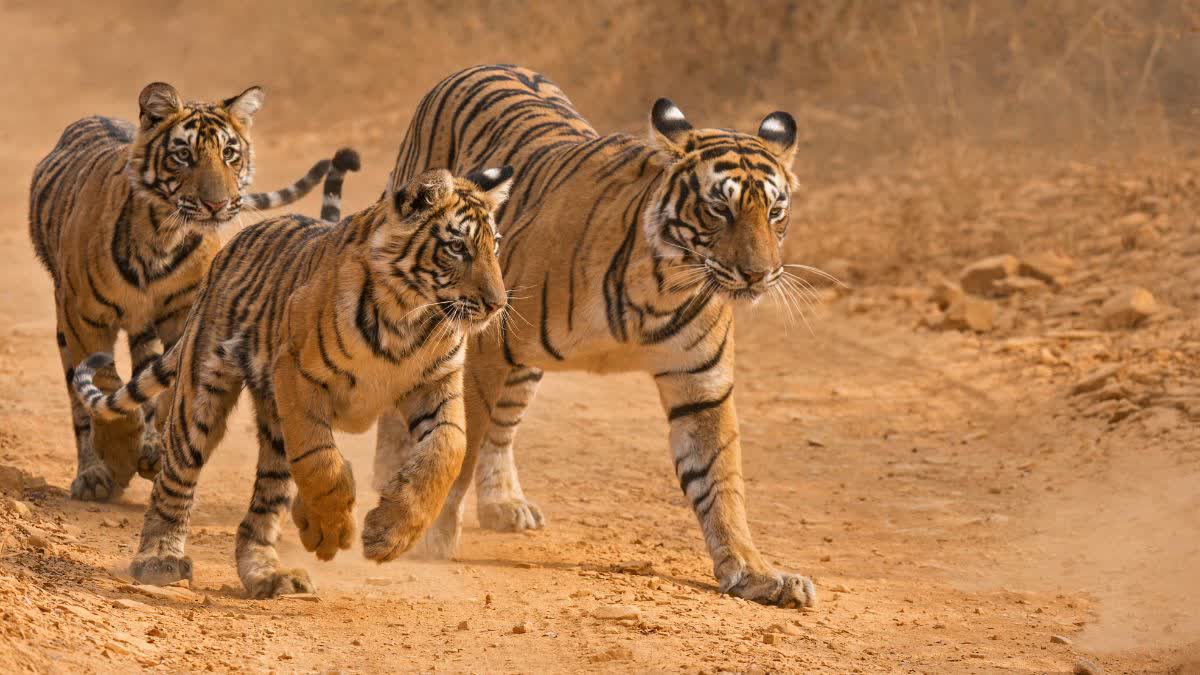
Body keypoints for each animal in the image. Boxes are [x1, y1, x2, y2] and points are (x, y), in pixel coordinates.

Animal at [29, 81, 347, 503]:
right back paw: (94, 473)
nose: (217, 204)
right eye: (183, 155)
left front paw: (154, 449)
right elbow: (105, 383)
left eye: (230, 154)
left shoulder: (187, 316)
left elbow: (167, 393)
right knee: (81, 402)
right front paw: (121, 453)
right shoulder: (83, 316)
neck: (162, 234)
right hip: (67, 322)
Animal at [72, 163, 513, 598]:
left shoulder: (437, 383)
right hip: (202, 395)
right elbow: (320, 460)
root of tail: (230, 248)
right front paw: (333, 529)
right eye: (457, 248)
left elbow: (448, 448)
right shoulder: (297, 373)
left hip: (273, 430)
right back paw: (159, 560)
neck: (408, 317)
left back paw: (268, 574)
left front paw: (389, 534)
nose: (496, 304)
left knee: (264, 507)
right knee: (177, 477)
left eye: (494, 246)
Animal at [372, 64, 816, 609]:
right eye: (719, 210)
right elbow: (458, 440)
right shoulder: (484, 347)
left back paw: (504, 505)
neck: (663, 287)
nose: (759, 274)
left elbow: (720, 481)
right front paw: (430, 535)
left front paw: (755, 574)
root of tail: (485, 65)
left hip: (524, 369)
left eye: (775, 212)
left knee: (502, 428)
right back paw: (387, 476)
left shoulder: (701, 384)